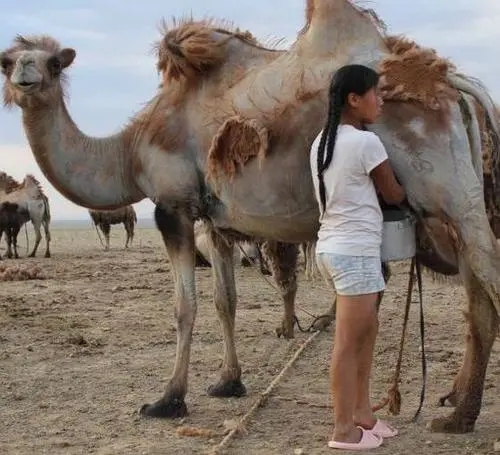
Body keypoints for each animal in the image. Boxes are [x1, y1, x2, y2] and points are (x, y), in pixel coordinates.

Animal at [2, 0, 500, 434]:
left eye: (53, 64)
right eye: (8, 61)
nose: (25, 80)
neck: (130, 151)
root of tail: (453, 83)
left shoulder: (172, 206)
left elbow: (184, 306)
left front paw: (168, 398)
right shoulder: (216, 221)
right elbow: (225, 301)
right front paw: (228, 381)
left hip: (448, 190)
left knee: (487, 278)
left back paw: (461, 417)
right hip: (456, 204)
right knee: (476, 295)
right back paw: (456, 409)